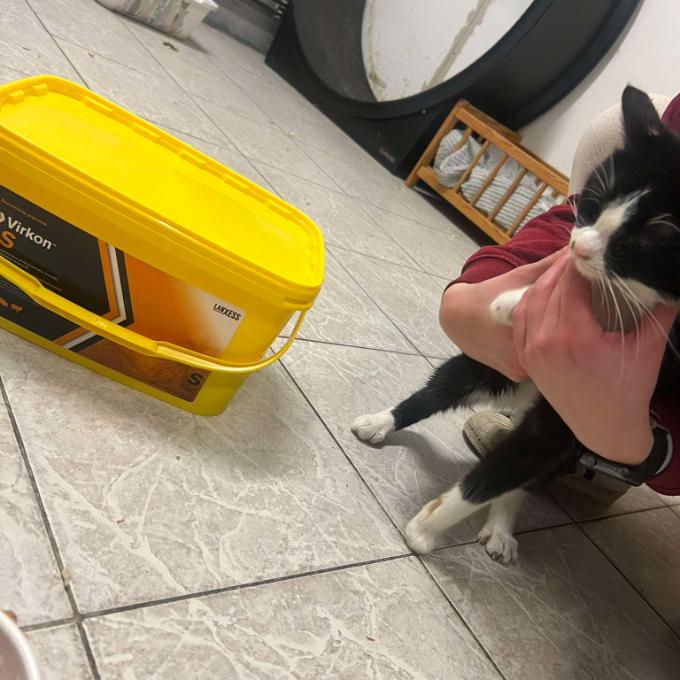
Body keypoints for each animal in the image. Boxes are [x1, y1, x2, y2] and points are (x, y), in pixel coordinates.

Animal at [351, 86, 680, 563]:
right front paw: (514, 302)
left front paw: (424, 531)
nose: (580, 246)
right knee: (439, 390)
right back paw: (380, 422)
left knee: (520, 469)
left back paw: (501, 527)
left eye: (639, 243)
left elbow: (495, 477)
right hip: (487, 365)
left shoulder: (575, 418)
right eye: (593, 205)